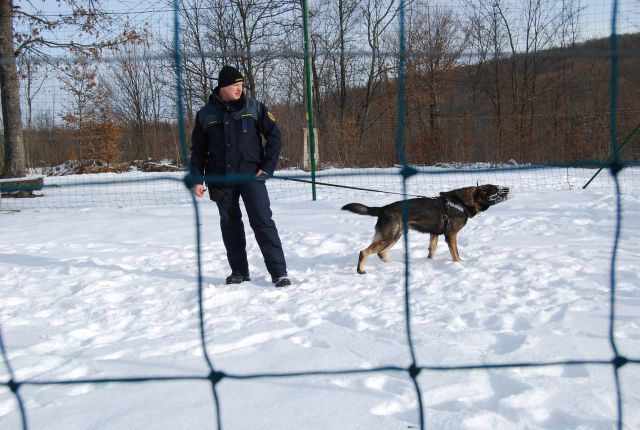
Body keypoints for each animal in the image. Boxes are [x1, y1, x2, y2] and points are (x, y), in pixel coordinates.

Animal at [342, 184, 512, 272]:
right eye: (496, 189)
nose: (508, 189)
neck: (461, 203)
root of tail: (383, 208)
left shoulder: (434, 234)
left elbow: (432, 251)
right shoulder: (451, 235)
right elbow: (455, 253)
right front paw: (459, 264)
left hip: (396, 236)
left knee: (381, 253)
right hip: (389, 236)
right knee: (364, 252)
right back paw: (361, 270)